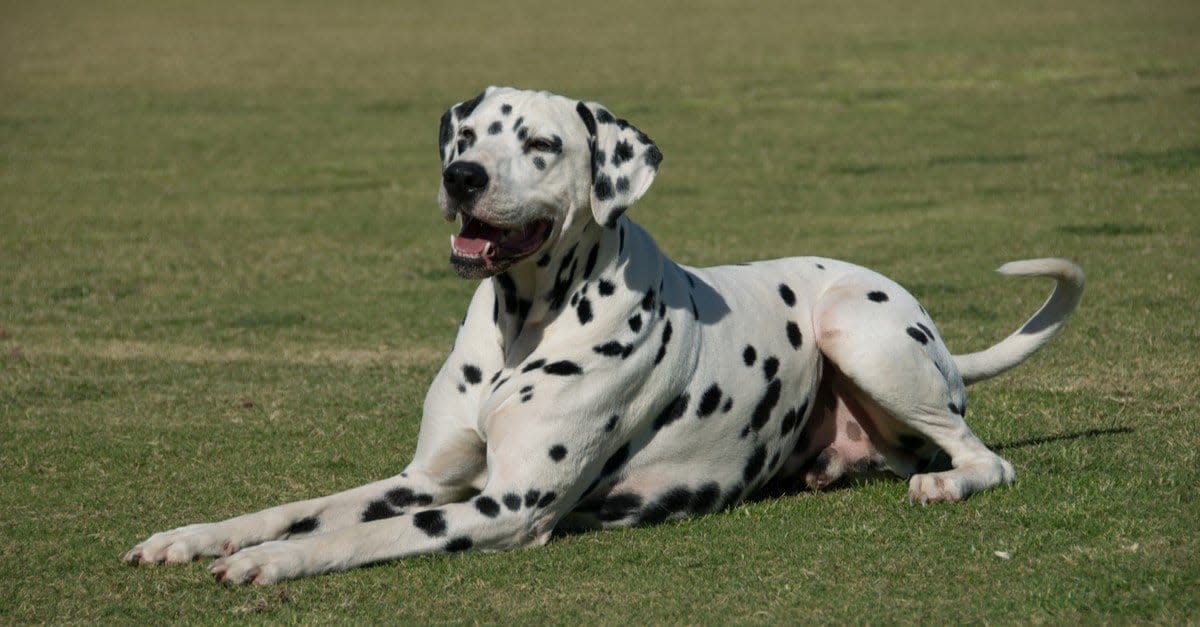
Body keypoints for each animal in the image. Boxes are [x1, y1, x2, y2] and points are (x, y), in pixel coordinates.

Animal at [126, 85, 1084, 583]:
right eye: (468, 132)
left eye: (542, 145)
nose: (462, 174)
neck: (524, 322)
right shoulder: (421, 479)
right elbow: (298, 508)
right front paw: (197, 535)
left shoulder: (505, 508)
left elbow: (352, 535)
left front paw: (274, 562)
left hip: (856, 325)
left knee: (985, 456)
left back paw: (947, 482)